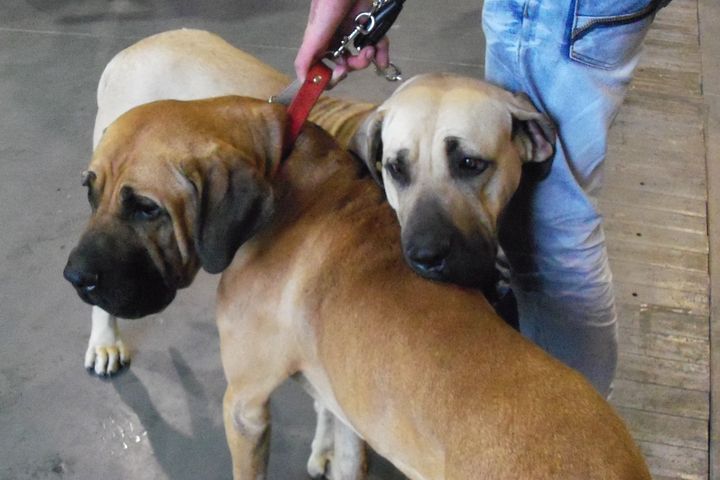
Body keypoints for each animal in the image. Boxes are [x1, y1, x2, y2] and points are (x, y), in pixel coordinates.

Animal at [64, 96, 650, 479]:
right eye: (91, 192)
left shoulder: (244, 405)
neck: (281, 168)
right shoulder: (348, 409)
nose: (75, 278)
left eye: (147, 209)